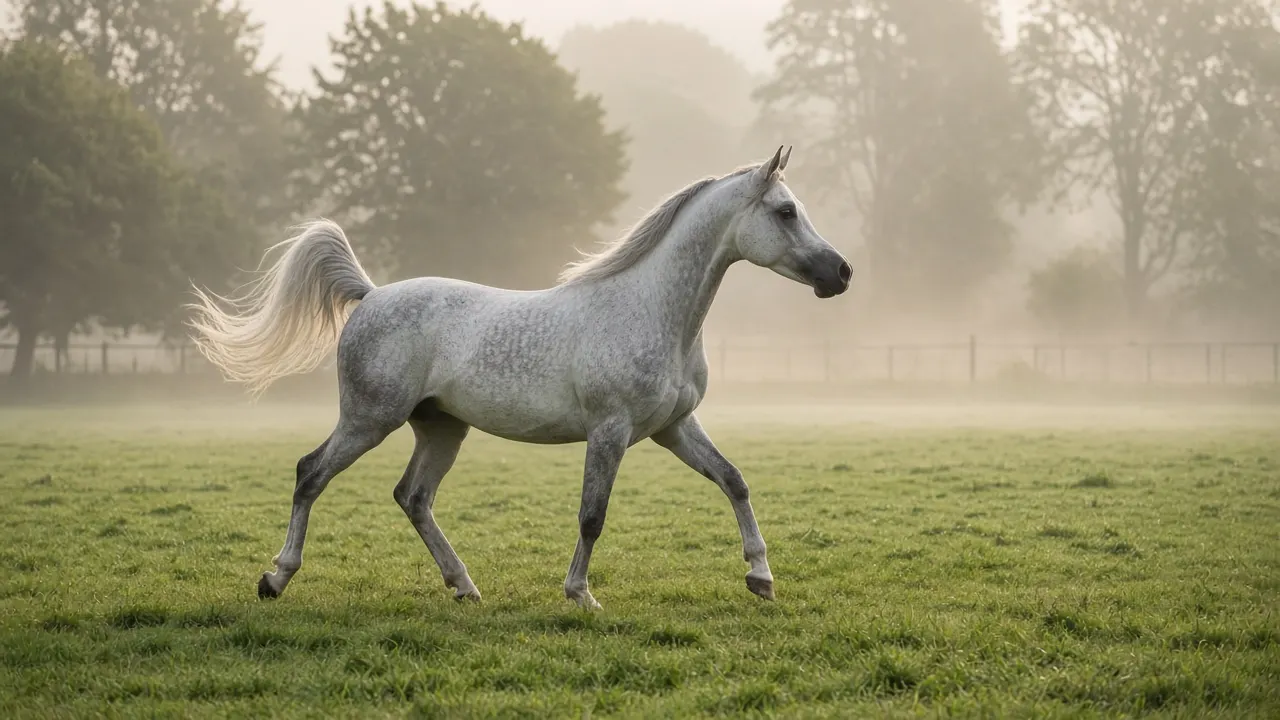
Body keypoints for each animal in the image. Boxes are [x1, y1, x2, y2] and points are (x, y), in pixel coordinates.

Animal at [189, 146, 852, 609]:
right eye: (785, 211)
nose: (841, 273)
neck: (653, 311)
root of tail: (371, 295)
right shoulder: (610, 431)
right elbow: (592, 515)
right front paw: (580, 594)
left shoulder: (675, 427)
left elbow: (734, 481)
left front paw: (761, 577)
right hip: (368, 419)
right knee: (311, 474)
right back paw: (276, 578)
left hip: (440, 429)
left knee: (412, 497)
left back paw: (463, 586)